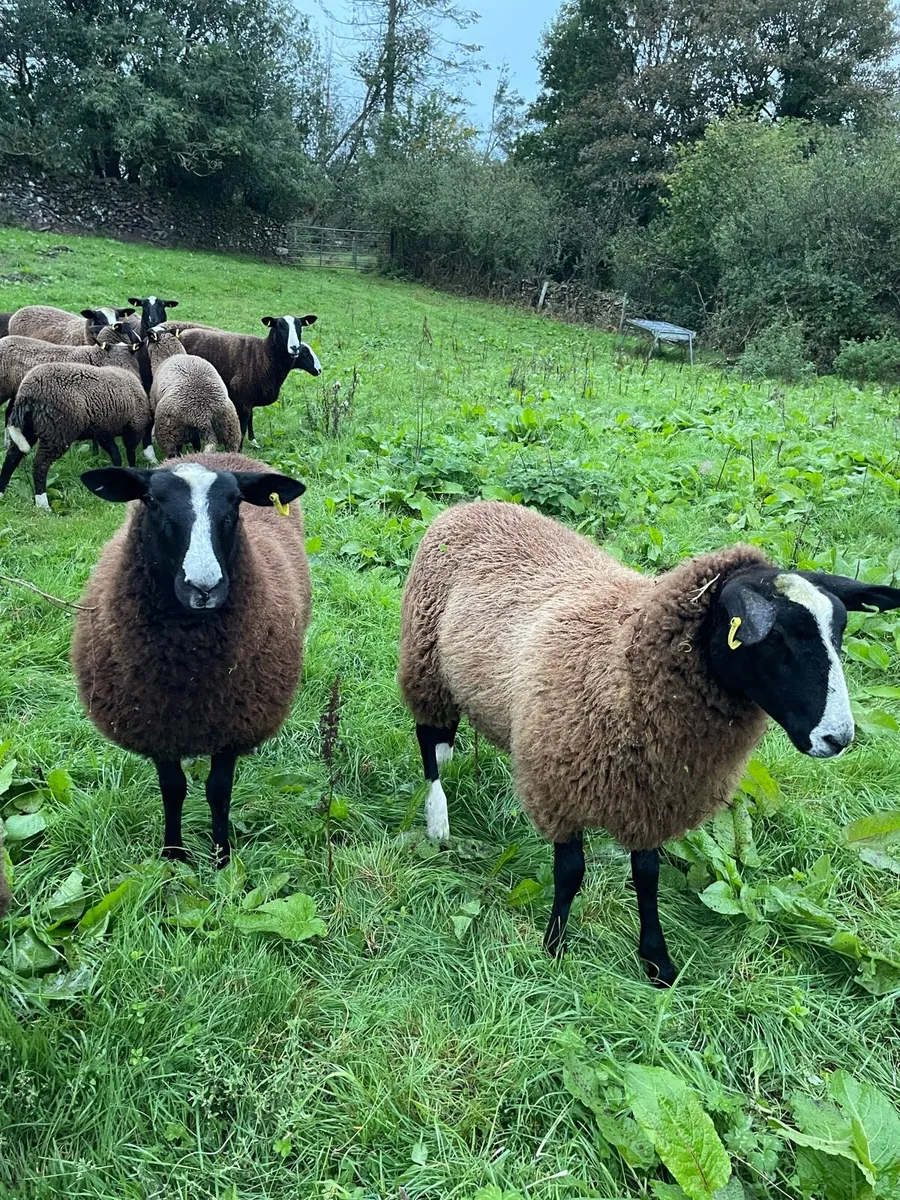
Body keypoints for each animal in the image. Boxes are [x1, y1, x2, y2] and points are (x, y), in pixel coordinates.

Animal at [0, 363, 152, 509]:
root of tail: (26, 393)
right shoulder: (134, 427)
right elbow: (130, 453)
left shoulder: (103, 431)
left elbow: (116, 455)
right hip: (57, 431)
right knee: (40, 465)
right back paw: (43, 504)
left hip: (29, 428)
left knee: (12, 456)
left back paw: (2, 493)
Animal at [71, 453, 311, 865]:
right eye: (151, 501)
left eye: (235, 503)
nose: (204, 588)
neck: (191, 672)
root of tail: (216, 451)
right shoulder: (157, 728)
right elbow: (173, 789)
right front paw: (173, 855)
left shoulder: (233, 724)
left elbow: (218, 790)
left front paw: (221, 857)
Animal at [179, 315, 321, 444]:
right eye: (279, 326)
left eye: (300, 326)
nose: (294, 347)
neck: (265, 356)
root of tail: (181, 334)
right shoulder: (242, 398)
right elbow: (242, 428)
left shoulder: (249, 398)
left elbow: (250, 419)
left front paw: (253, 440)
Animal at [398, 500, 900, 985]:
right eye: (775, 638)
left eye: (840, 632)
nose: (839, 737)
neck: (620, 662)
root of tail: (470, 506)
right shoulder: (558, 788)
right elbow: (570, 873)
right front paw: (554, 947)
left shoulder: (651, 795)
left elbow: (647, 876)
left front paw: (658, 962)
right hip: (424, 661)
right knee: (427, 740)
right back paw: (437, 820)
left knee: (444, 736)